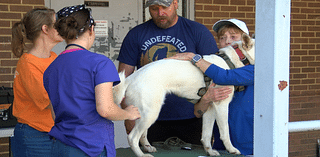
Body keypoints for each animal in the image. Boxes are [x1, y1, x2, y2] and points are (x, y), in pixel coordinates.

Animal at [113, 33, 255, 156]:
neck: (232, 60)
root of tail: (130, 78)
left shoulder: (209, 107)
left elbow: (207, 134)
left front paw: (209, 151)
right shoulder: (221, 105)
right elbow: (225, 132)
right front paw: (232, 149)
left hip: (147, 112)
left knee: (142, 134)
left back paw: (147, 148)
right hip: (151, 112)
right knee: (132, 137)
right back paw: (142, 155)